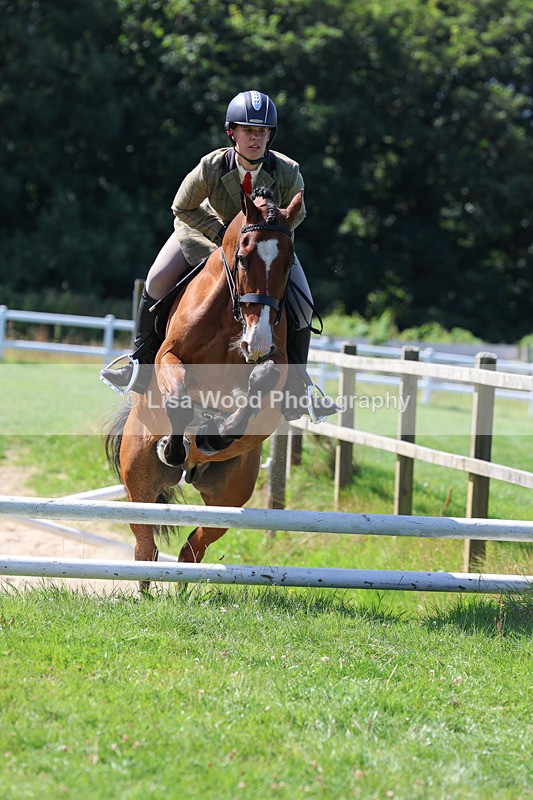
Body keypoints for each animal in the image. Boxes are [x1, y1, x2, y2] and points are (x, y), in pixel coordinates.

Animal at [104, 188, 302, 585]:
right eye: (242, 258)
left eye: (289, 265)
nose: (256, 342)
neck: (231, 317)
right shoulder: (169, 357)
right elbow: (179, 396)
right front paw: (174, 447)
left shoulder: (276, 364)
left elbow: (261, 381)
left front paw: (217, 435)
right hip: (139, 484)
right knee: (145, 548)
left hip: (228, 500)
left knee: (192, 548)